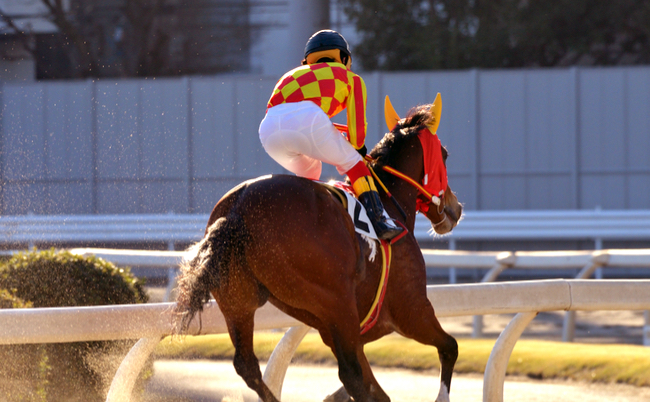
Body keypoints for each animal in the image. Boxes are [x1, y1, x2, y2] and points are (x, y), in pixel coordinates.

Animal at [173, 94, 463, 402]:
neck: (390, 203)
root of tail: (237, 210)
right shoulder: (411, 309)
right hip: (337, 300)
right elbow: (449, 347)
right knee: (351, 374)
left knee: (247, 365)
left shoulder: (348, 331)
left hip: (237, 302)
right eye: (445, 153)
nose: (455, 208)